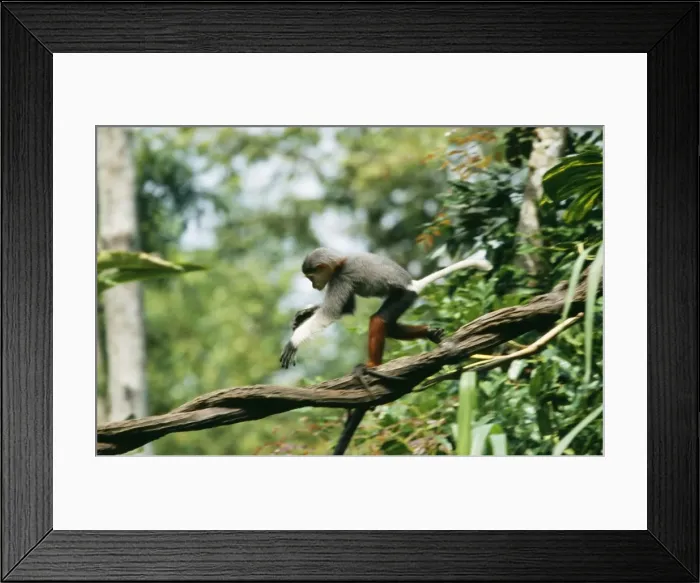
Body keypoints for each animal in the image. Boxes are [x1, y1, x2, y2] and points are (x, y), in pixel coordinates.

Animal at [279, 247, 493, 453]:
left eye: (311, 276)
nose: (313, 285)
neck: (340, 262)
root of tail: (413, 284)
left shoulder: (341, 278)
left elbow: (329, 315)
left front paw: (294, 341)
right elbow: (345, 309)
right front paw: (307, 312)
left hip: (403, 296)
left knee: (378, 320)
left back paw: (371, 365)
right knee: (388, 326)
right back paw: (430, 333)